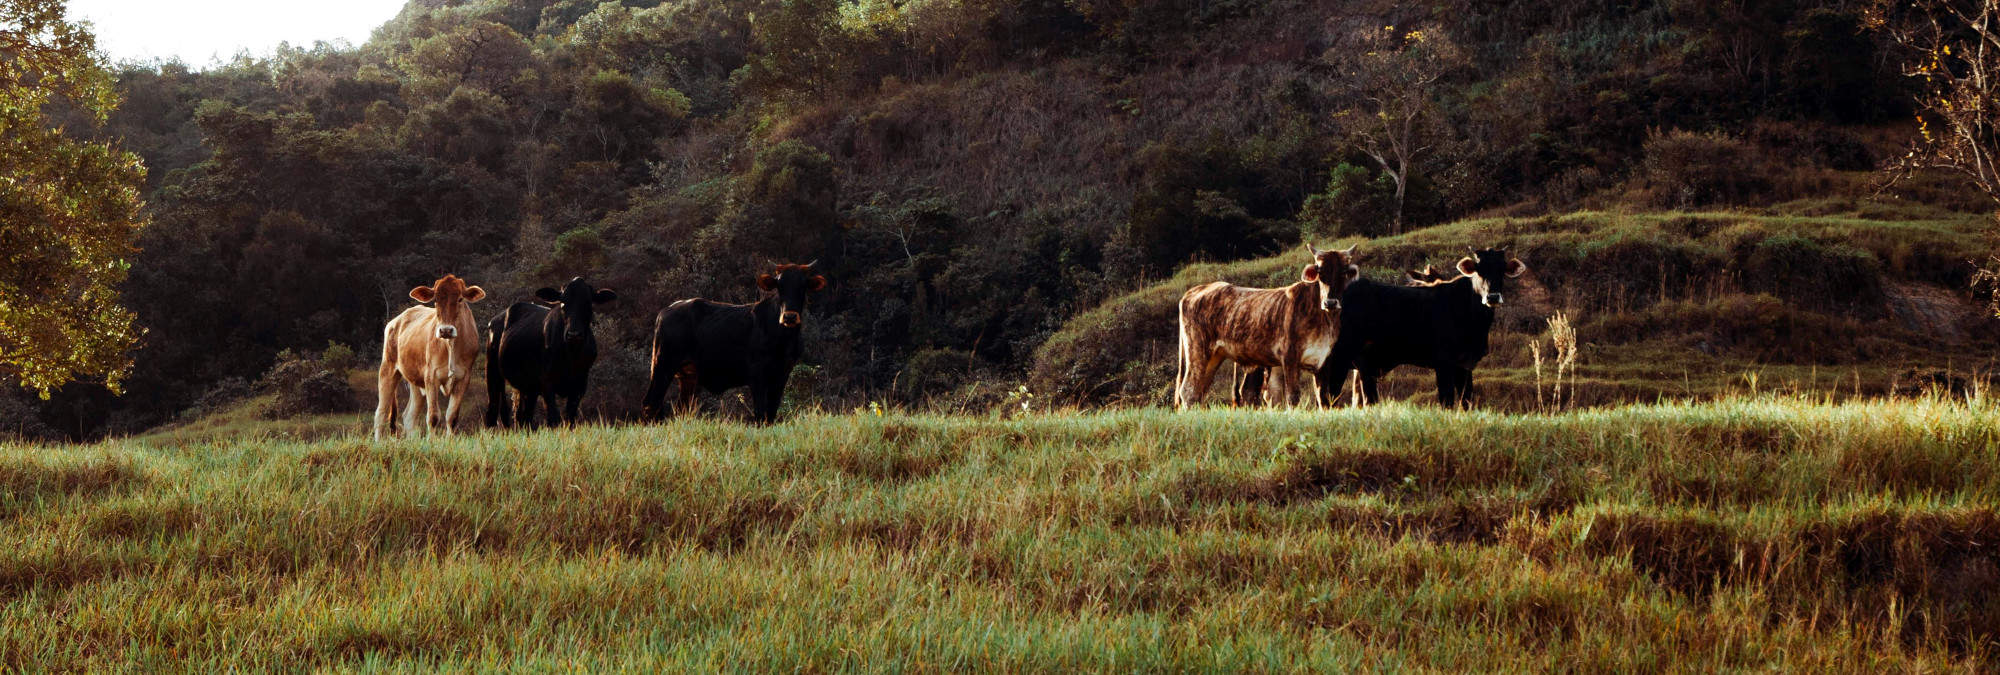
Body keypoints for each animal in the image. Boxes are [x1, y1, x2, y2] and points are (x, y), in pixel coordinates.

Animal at [374, 275, 486, 443]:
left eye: (460, 299)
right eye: (436, 299)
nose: (446, 330)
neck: (450, 345)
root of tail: (395, 321)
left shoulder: (464, 378)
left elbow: (451, 416)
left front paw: (449, 442)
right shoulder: (432, 376)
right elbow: (433, 416)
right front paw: (431, 442)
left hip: (416, 383)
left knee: (409, 416)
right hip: (388, 368)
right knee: (381, 412)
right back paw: (378, 442)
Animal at [644, 261, 824, 425]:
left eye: (802, 287)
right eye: (779, 287)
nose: (789, 317)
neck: (784, 339)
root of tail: (666, 310)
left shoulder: (783, 373)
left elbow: (772, 409)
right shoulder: (755, 371)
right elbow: (760, 409)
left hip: (689, 376)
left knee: (681, 408)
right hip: (662, 366)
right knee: (651, 402)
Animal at [1168, 243, 1360, 409]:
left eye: (1343, 272)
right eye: (1320, 272)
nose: (1330, 302)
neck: (1323, 319)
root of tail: (1197, 289)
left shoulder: (1324, 361)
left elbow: (1324, 399)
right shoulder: (1289, 358)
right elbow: (1293, 397)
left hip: (1214, 355)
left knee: (1200, 391)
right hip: (1197, 351)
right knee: (1189, 391)